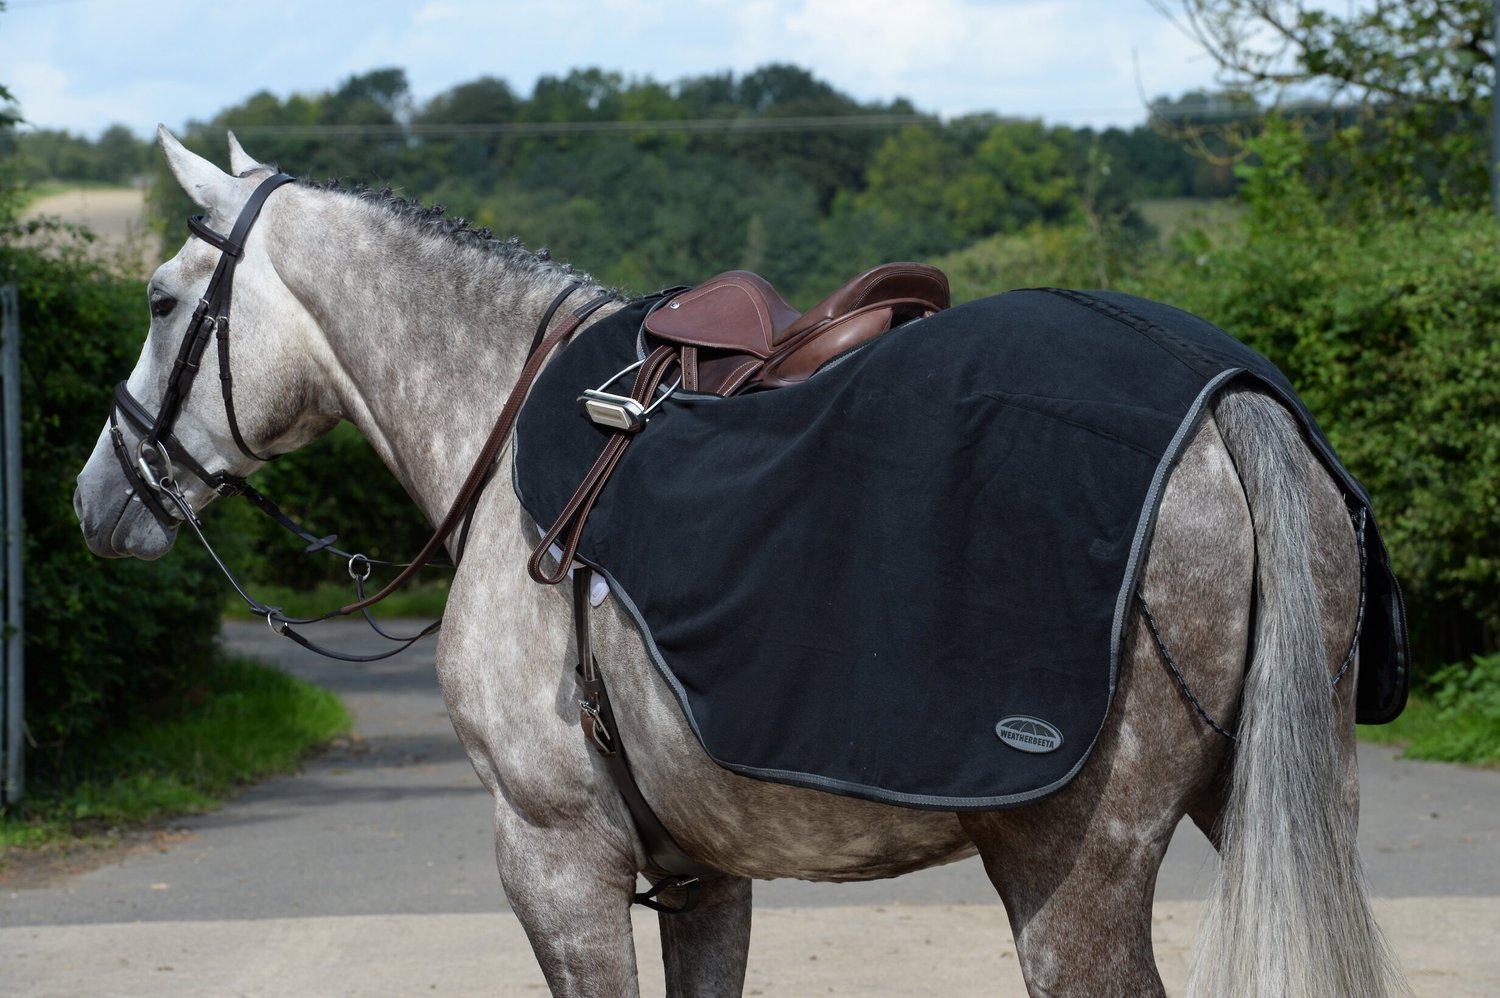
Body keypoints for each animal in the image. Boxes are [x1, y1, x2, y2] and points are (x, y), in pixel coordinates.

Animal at [72, 129, 1407, 997]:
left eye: (158, 299)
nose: (100, 494)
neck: (502, 424)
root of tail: (1226, 398)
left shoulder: (558, 863)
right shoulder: (704, 874)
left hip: (1073, 879)